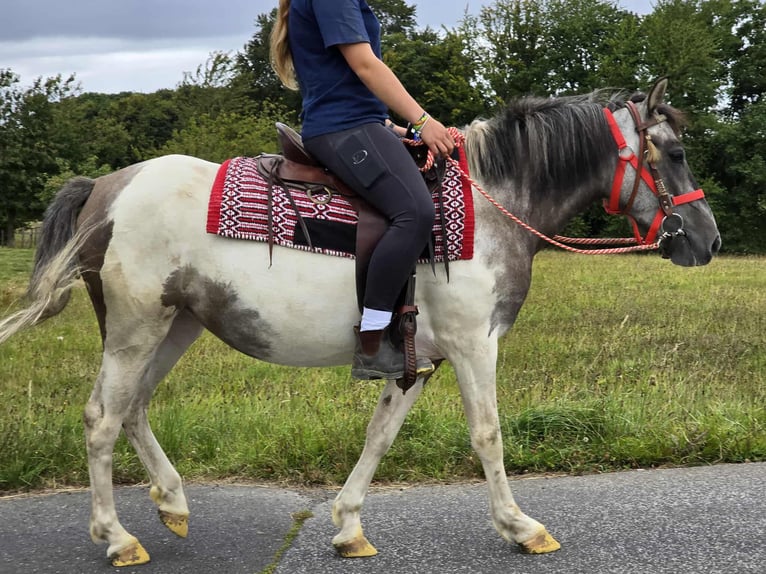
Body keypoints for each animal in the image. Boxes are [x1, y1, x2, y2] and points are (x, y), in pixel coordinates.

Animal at [0, 79, 720, 567]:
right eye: (674, 152)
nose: (708, 240)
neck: (491, 208)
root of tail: (105, 188)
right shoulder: (473, 346)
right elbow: (488, 436)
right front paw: (520, 527)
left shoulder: (415, 361)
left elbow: (379, 436)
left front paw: (348, 527)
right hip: (136, 327)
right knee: (102, 417)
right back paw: (117, 537)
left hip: (175, 325)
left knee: (136, 407)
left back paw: (172, 504)